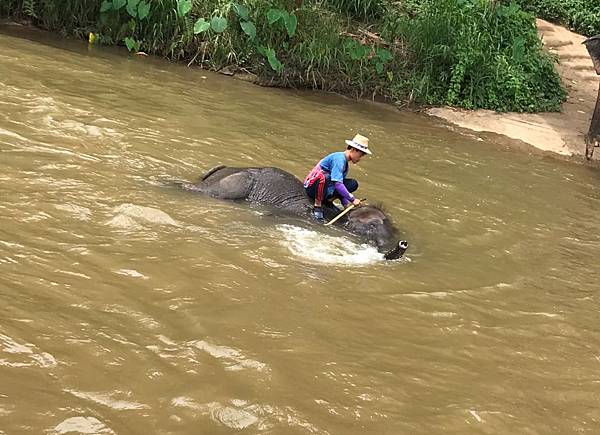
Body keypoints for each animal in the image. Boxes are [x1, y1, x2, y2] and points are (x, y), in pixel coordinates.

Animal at [182, 166, 408, 260]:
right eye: (371, 226)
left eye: (396, 232)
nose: (403, 243)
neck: (335, 216)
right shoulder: (298, 214)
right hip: (235, 183)